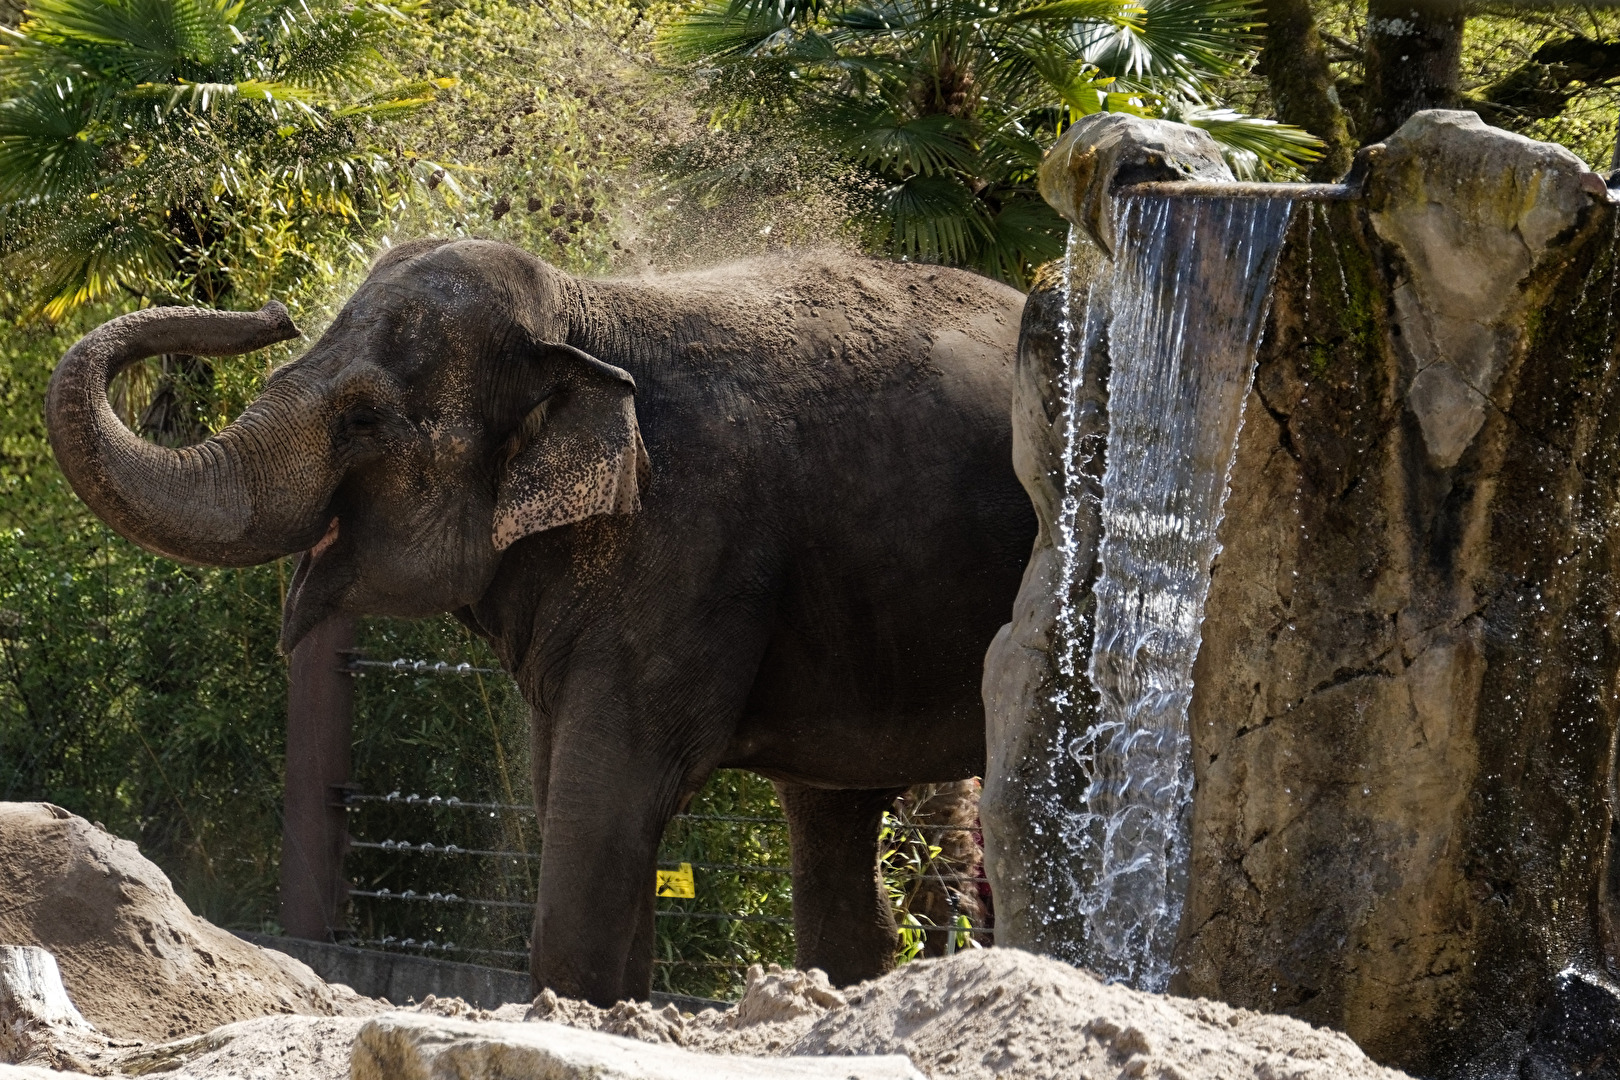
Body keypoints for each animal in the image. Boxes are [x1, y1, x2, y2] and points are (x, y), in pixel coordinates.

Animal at [45, 238, 1035, 1005]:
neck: (584, 315)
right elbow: (579, 791)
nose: (273, 310)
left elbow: (610, 805)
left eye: (363, 419)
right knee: (839, 827)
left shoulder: (693, 550)